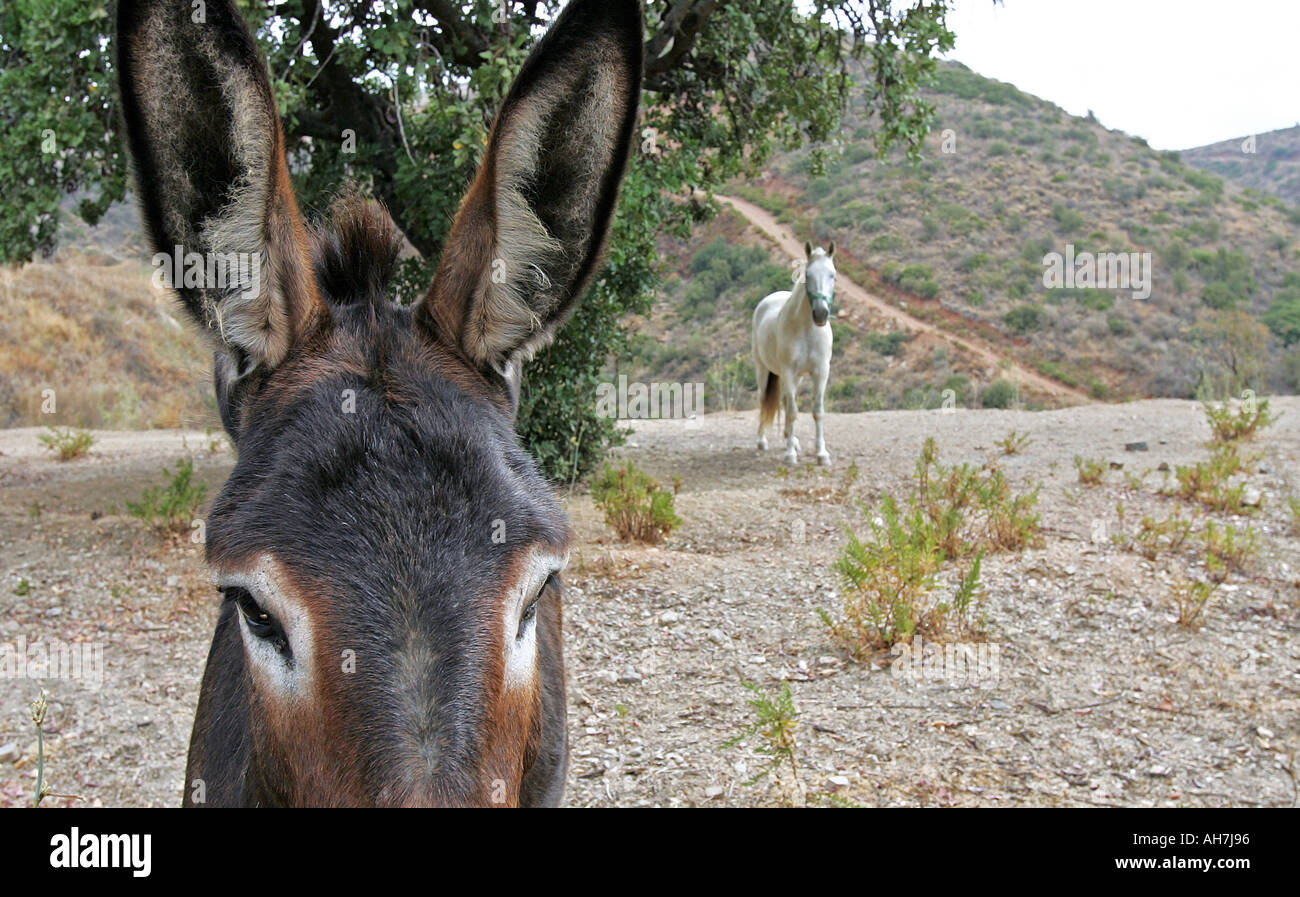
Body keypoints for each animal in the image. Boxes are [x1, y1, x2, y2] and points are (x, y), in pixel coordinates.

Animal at [754, 240, 832, 465]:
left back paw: (792, 438)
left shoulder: (820, 373)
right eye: (808, 274)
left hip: (797, 377)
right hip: (763, 369)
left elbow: (817, 411)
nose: (821, 314)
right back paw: (762, 441)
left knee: (786, 400)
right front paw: (790, 455)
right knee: (763, 399)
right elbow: (792, 412)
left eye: (832, 275)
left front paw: (821, 454)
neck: (806, 329)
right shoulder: (788, 371)